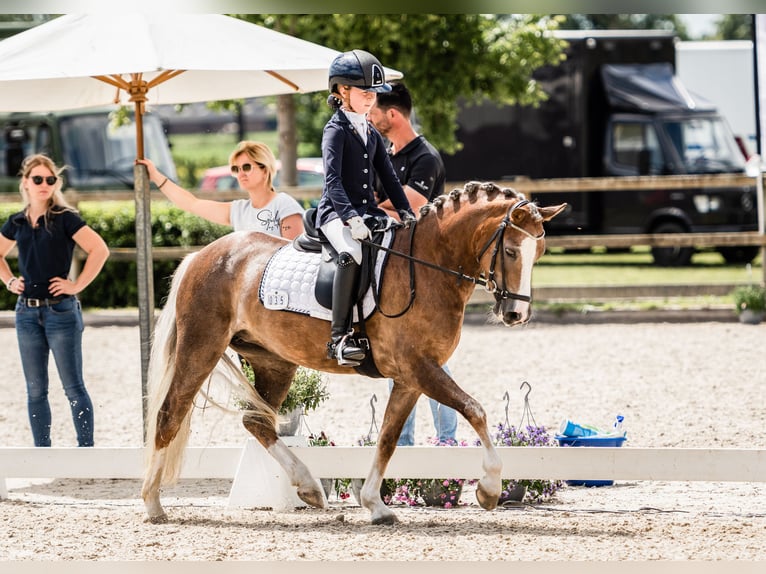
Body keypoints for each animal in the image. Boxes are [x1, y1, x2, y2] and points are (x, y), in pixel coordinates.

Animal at [142, 182, 564, 524]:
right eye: (511, 251)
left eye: (540, 251)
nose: (516, 314)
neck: (428, 267)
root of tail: (201, 256)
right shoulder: (419, 367)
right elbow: (475, 410)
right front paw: (489, 489)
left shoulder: (411, 378)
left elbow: (388, 439)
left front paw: (375, 505)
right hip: (202, 346)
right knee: (169, 414)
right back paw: (152, 504)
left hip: (274, 360)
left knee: (257, 422)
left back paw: (309, 487)